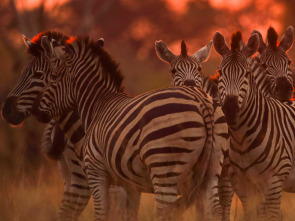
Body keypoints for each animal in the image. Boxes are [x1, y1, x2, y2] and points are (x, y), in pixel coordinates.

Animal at [29, 34, 224, 219]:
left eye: (53, 77)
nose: (36, 110)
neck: (99, 105)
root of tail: (201, 101)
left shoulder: (96, 172)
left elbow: (101, 214)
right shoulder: (129, 184)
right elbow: (128, 214)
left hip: (164, 169)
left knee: (166, 211)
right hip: (213, 169)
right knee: (214, 209)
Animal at [214, 31, 295, 221]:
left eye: (247, 73)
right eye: (220, 72)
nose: (230, 109)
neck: (241, 138)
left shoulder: (273, 183)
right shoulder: (243, 186)